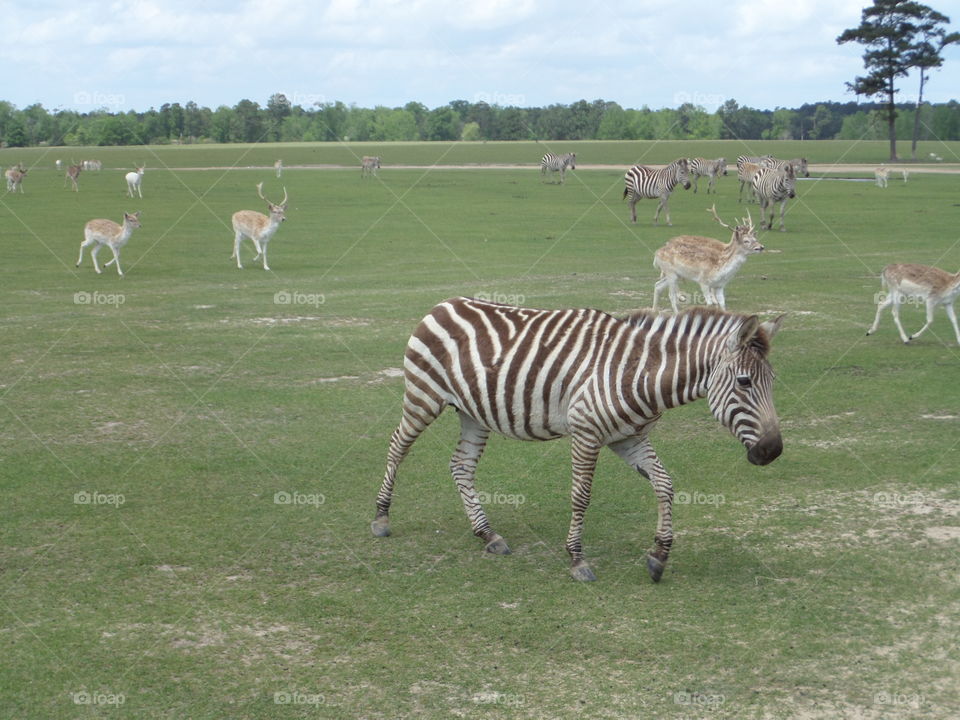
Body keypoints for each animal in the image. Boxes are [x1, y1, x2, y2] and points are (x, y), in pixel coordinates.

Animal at [372, 296, 784, 584]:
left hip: (473, 412)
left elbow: (665, 485)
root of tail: (444, 304)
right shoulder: (587, 432)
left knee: (461, 465)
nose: (773, 451)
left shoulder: (629, 439)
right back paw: (381, 518)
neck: (639, 373)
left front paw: (659, 556)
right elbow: (581, 496)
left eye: (772, 382)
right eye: (744, 382)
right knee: (396, 447)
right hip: (423, 396)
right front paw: (577, 559)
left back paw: (487, 534)